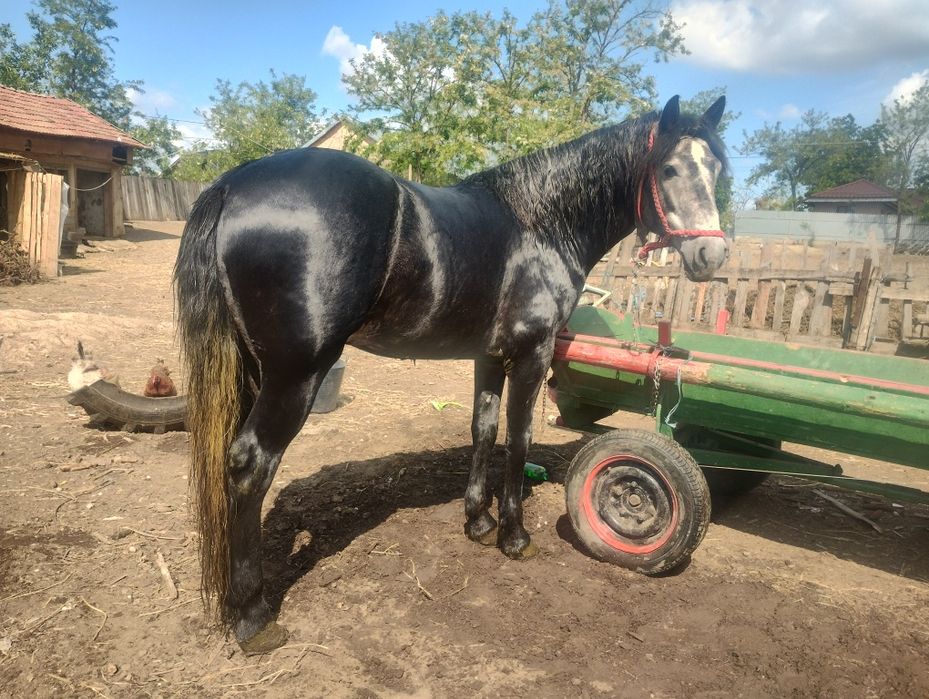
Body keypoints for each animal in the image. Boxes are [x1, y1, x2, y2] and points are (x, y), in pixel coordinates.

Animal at [174, 94, 730, 654]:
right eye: (669, 168)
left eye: (716, 169)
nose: (712, 255)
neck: (540, 224)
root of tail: (232, 184)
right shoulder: (532, 354)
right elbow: (519, 439)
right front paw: (513, 536)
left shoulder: (489, 356)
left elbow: (483, 430)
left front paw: (478, 521)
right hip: (297, 373)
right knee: (251, 465)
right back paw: (252, 617)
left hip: (253, 370)